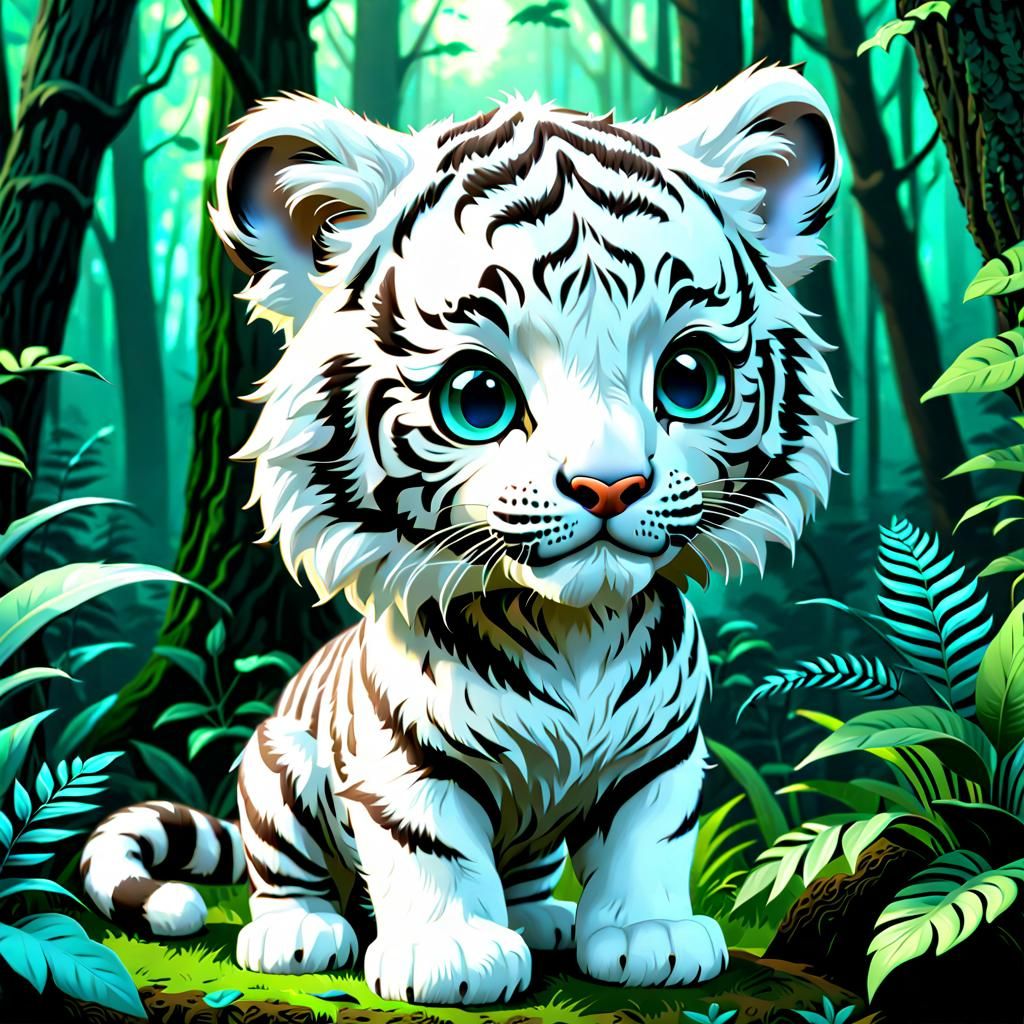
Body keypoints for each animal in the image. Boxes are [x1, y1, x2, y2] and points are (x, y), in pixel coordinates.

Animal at [82, 64, 844, 1005]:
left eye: (688, 376)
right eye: (477, 397)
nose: (610, 484)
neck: (574, 628)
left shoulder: (662, 755)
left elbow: (650, 841)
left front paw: (652, 937)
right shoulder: (403, 764)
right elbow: (434, 850)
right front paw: (453, 956)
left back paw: (547, 921)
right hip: (279, 765)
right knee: (286, 874)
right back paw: (301, 935)